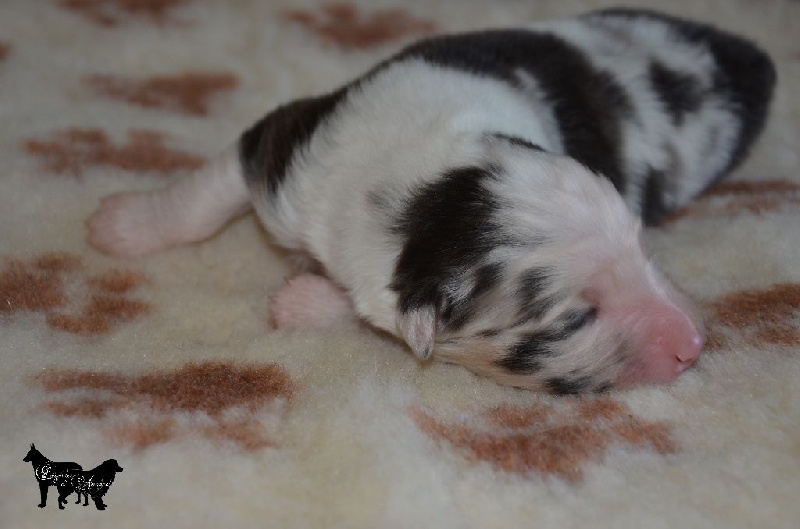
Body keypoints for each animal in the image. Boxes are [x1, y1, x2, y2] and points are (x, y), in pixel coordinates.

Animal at [86, 9, 775, 393]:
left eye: (643, 250)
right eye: (575, 320)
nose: (694, 344)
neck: (419, 195)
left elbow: (366, 307)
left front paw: (301, 299)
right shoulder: (288, 143)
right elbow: (202, 198)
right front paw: (124, 226)